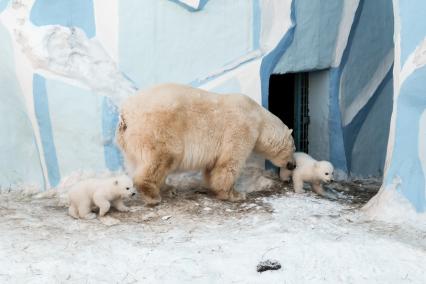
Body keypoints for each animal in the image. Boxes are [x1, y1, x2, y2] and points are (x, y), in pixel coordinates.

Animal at [116, 83, 296, 205]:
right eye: (293, 148)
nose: (293, 165)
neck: (259, 118)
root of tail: (126, 114)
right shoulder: (240, 128)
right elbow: (229, 162)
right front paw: (235, 194)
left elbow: (213, 166)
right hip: (158, 129)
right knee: (162, 157)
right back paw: (153, 195)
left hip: (130, 143)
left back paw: (168, 189)